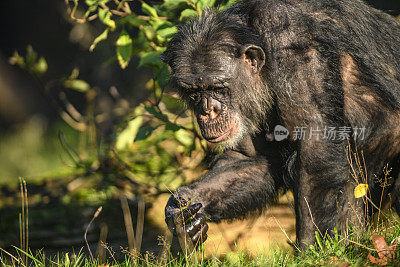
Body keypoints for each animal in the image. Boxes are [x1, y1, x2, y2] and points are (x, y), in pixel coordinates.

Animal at [161, 0, 400, 251]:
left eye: (218, 88)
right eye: (194, 92)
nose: (208, 111)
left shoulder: (295, 45)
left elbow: (315, 149)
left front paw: (309, 249)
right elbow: (254, 160)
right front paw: (183, 208)